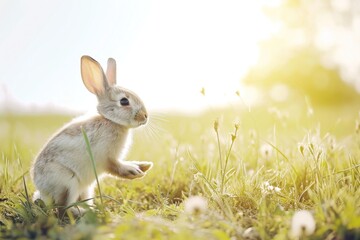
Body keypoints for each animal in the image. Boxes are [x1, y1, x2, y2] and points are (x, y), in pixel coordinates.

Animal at [31, 55, 153, 217]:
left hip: (86, 187)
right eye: (124, 101)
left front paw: (144, 166)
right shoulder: (107, 157)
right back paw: (85, 212)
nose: (145, 116)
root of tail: (42, 189)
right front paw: (134, 171)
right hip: (68, 183)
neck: (111, 121)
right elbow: (116, 167)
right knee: (64, 208)